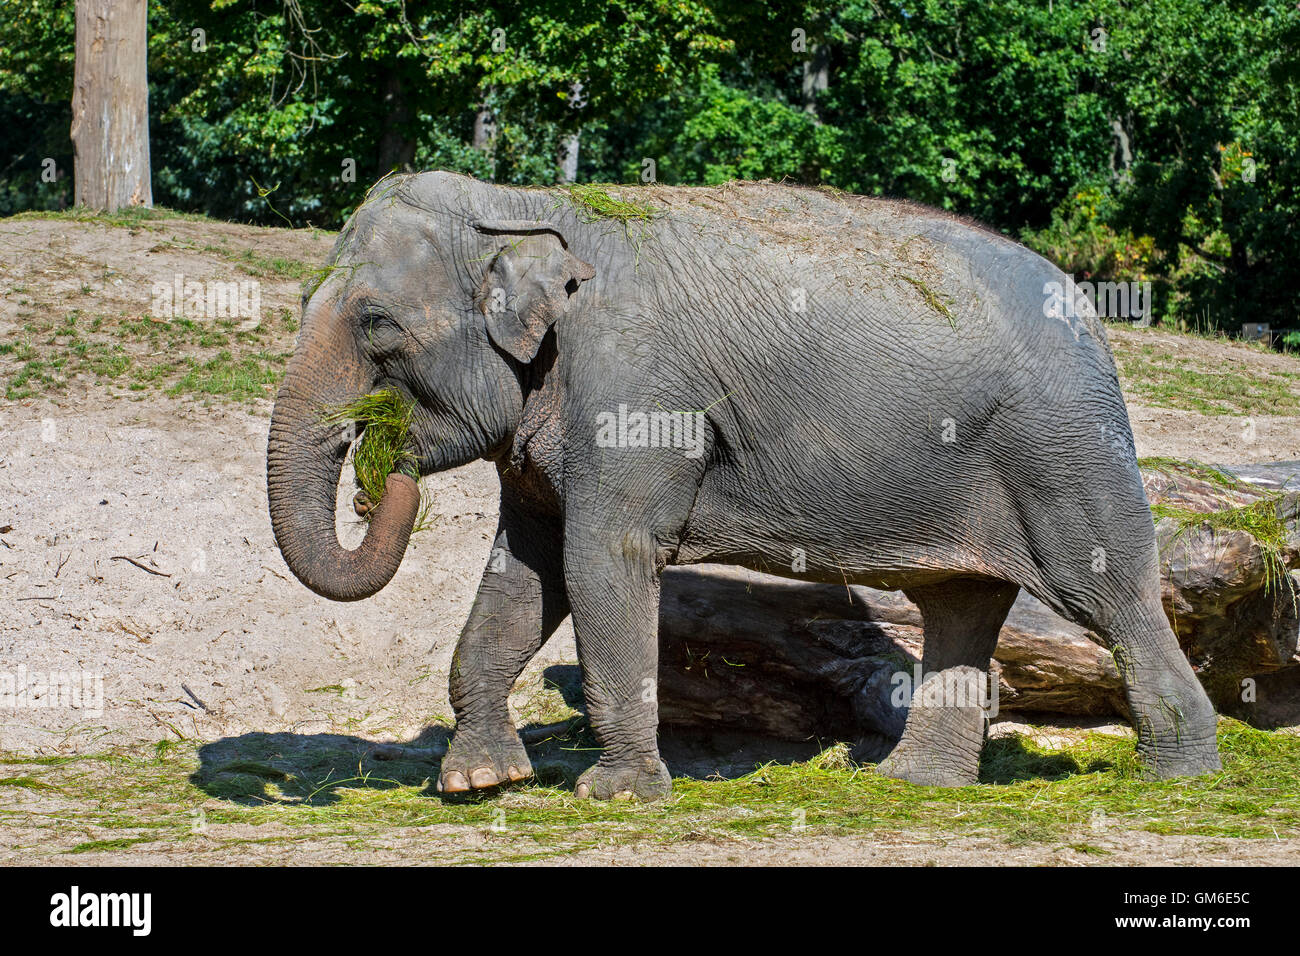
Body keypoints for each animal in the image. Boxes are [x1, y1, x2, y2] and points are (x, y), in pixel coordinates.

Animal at [266, 171, 1222, 800]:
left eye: (376, 324)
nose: (378, 474)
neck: (522, 205)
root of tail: (1094, 313)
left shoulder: (635, 390)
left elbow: (602, 559)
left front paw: (618, 797)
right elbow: (524, 573)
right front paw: (478, 782)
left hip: (1064, 447)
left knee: (1110, 592)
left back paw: (1176, 780)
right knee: (961, 601)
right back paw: (917, 785)